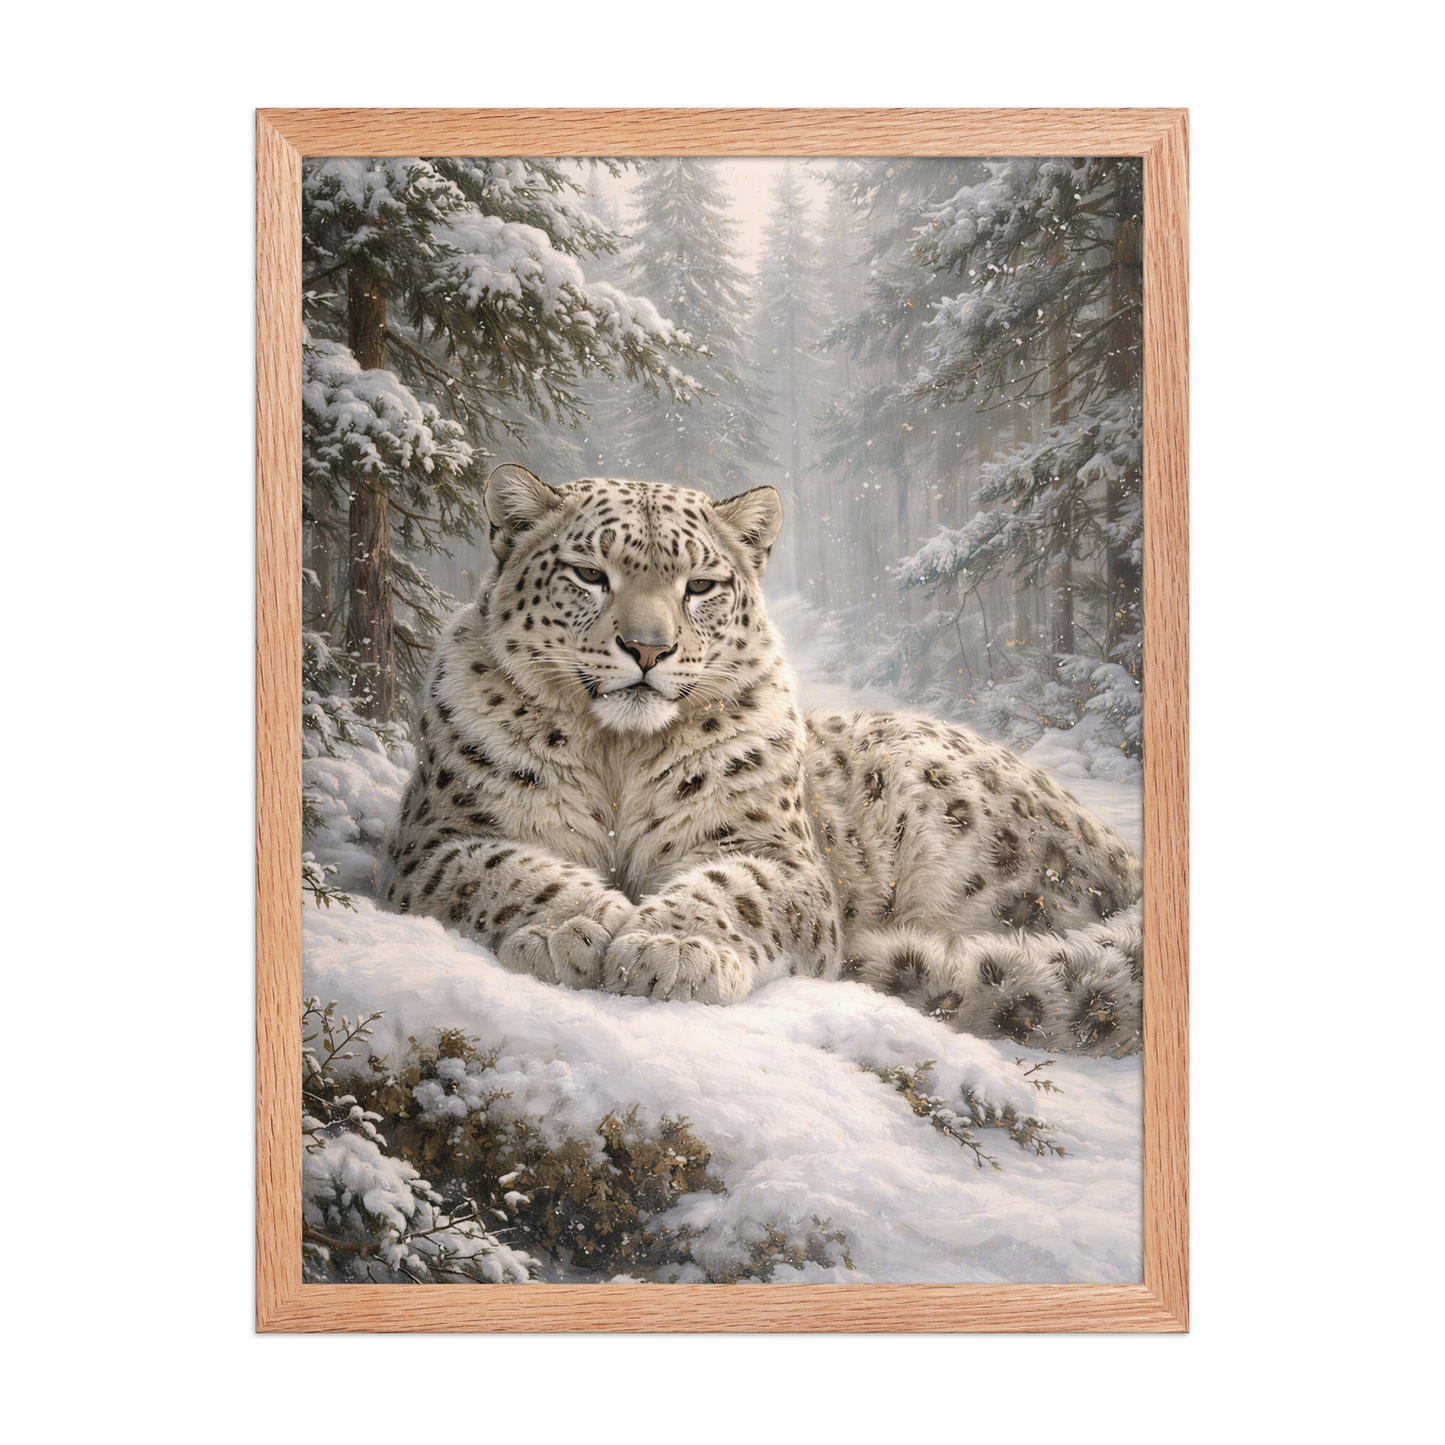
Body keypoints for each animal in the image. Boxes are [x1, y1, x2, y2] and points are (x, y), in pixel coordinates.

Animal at [379, 464, 1143, 1057]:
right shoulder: (441, 838)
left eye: (700, 584)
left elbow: (733, 889)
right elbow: (510, 870)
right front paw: (572, 930)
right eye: (590, 573)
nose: (648, 647)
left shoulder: (774, 852)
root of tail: (1124, 855)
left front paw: (670, 949)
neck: (619, 753)